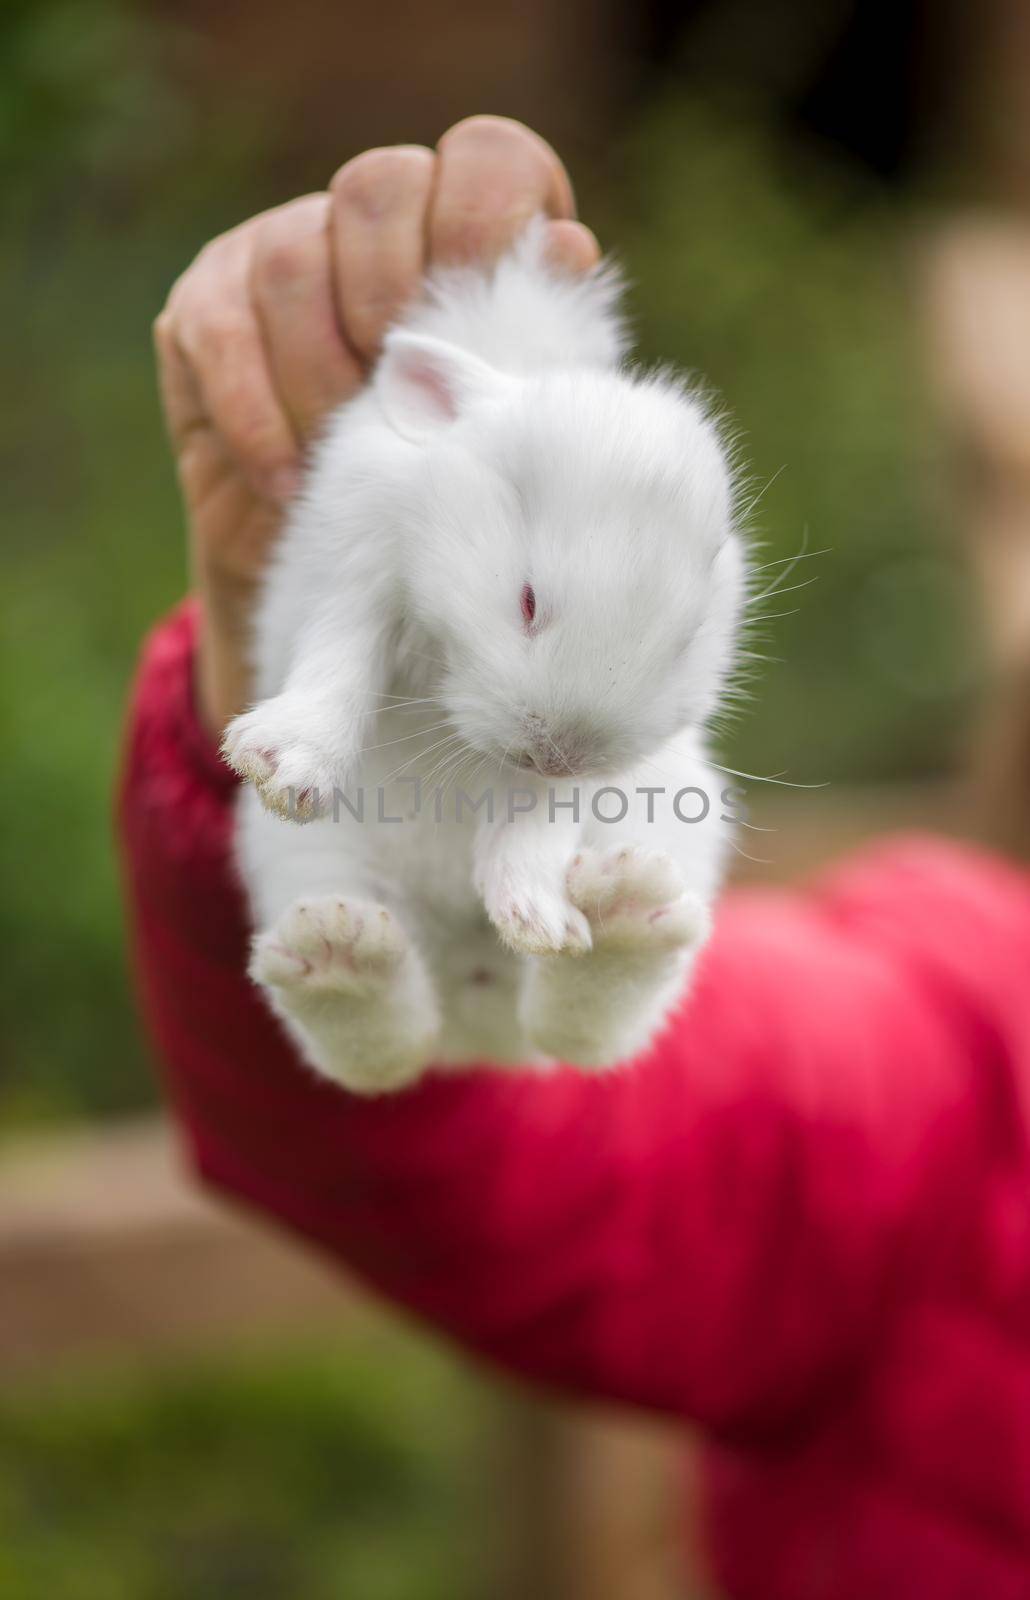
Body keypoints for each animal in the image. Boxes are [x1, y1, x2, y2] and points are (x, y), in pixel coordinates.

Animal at [223, 225, 748, 1094]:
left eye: (684, 639)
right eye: (527, 601)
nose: (561, 751)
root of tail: (475, 1025)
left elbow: (538, 818)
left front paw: (532, 907)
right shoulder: (360, 566)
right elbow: (341, 654)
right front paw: (288, 762)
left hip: (678, 826)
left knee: (577, 1028)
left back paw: (615, 918)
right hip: (297, 857)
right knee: (384, 1043)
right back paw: (337, 953)